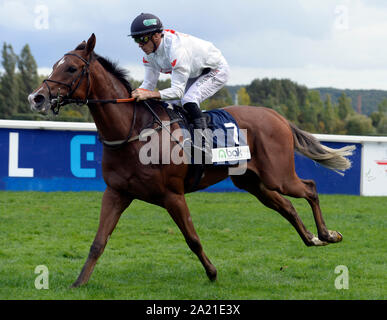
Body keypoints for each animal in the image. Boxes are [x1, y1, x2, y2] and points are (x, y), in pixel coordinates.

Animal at [28, 34, 354, 288]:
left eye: (71, 68)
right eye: (55, 64)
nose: (37, 97)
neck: (134, 131)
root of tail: (278, 116)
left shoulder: (172, 195)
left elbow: (192, 238)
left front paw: (212, 273)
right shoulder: (116, 192)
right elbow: (98, 241)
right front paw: (79, 283)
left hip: (278, 175)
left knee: (309, 187)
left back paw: (327, 234)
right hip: (253, 182)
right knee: (286, 207)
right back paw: (312, 238)